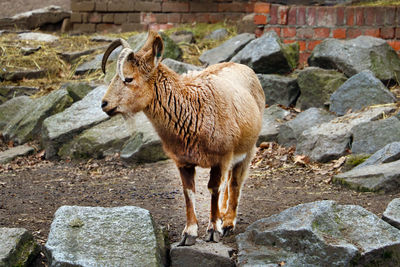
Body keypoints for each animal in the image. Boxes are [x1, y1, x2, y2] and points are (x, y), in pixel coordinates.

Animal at [101, 31, 266, 247]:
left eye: (128, 78)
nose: (104, 104)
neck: (193, 109)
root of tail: (246, 68)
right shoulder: (183, 161)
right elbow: (189, 192)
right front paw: (189, 233)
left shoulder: (221, 158)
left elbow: (214, 188)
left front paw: (213, 231)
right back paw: (223, 216)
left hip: (248, 149)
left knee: (235, 182)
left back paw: (228, 222)